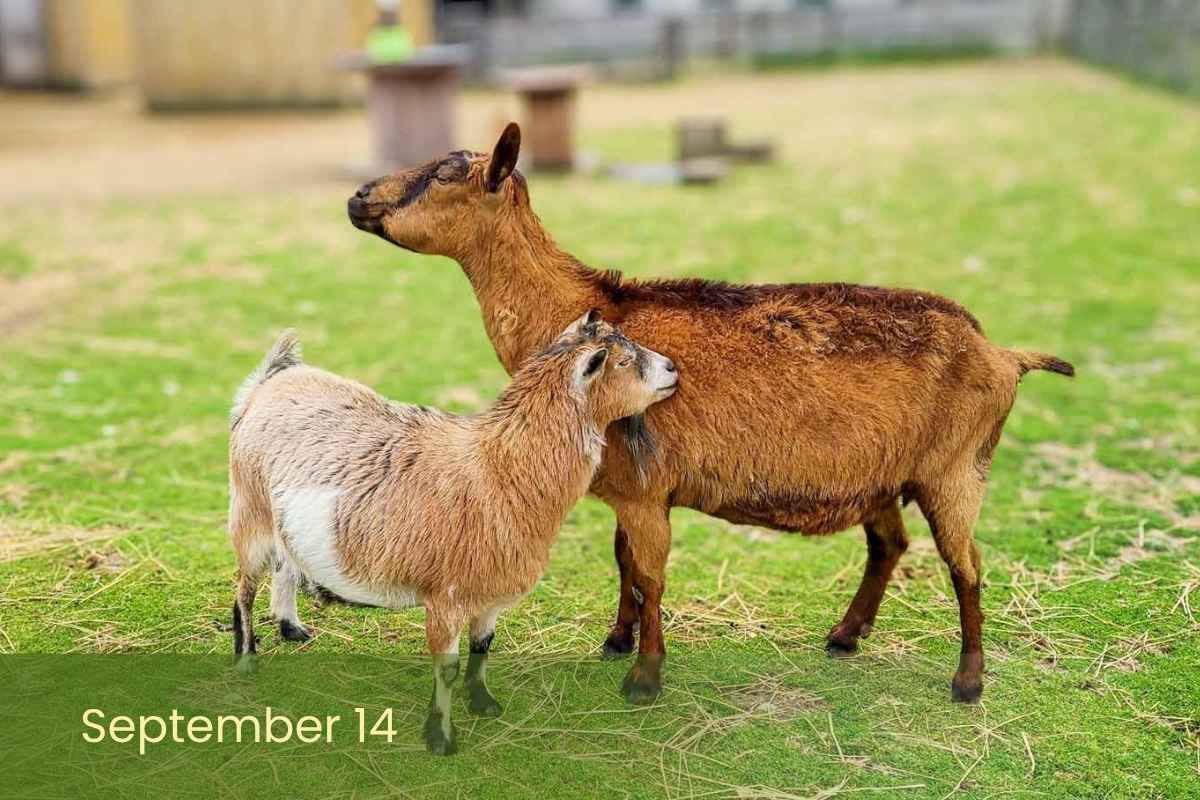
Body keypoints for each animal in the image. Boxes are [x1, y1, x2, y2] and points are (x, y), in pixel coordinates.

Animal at [227, 313, 678, 754]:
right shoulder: (445, 598)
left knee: (285, 565)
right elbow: (447, 667)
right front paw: (440, 737)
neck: (500, 470)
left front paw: (482, 702)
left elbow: (483, 647)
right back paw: (247, 659)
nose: (673, 368)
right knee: (245, 590)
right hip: (250, 514)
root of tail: (271, 382)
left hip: (282, 522)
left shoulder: (490, 594)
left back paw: (291, 628)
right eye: (623, 362)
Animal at [348, 122, 1075, 706]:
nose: (358, 198)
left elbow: (650, 572)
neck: (580, 312)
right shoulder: (629, 485)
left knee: (966, 565)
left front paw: (644, 678)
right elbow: (623, 562)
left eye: (445, 173)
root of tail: (1004, 354)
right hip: (885, 478)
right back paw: (845, 636)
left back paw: (968, 681)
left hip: (955, 469)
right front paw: (617, 639)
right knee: (889, 544)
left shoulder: (645, 486)